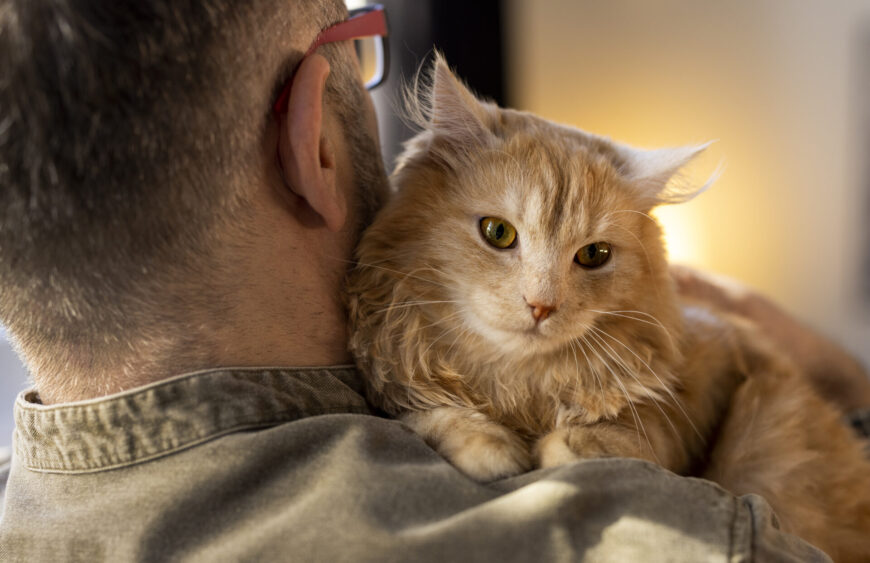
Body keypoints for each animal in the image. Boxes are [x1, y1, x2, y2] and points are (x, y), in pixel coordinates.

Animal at [348, 57, 870, 560]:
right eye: (498, 233)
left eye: (593, 255)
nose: (541, 306)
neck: (518, 386)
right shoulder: (394, 376)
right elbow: (429, 414)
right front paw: (490, 446)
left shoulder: (701, 384)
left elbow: (624, 435)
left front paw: (564, 446)